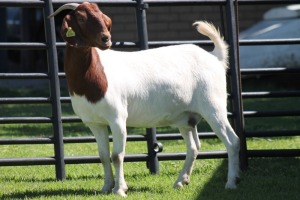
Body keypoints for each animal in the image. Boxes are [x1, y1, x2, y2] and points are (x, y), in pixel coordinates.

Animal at [49, 2, 241, 198]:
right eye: (80, 18)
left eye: (104, 17)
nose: (105, 39)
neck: (94, 72)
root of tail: (215, 57)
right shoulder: (95, 123)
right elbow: (103, 156)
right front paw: (106, 187)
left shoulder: (118, 118)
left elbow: (117, 155)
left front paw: (120, 189)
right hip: (186, 117)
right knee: (194, 146)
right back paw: (181, 181)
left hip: (213, 106)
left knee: (232, 141)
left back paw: (231, 182)